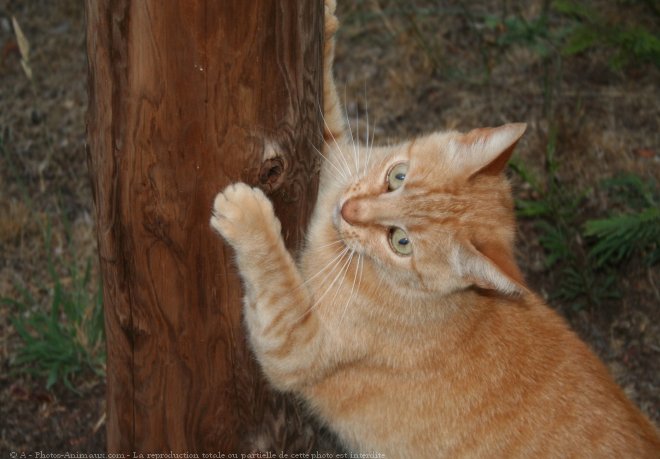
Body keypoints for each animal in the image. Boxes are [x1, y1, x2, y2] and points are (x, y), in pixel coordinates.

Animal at [211, 1, 660, 458]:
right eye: (398, 176)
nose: (349, 211)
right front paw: (327, 22)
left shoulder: (296, 344)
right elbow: (328, 109)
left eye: (401, 242)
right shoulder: (337, 161)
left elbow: (276, 281)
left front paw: (247, 215)